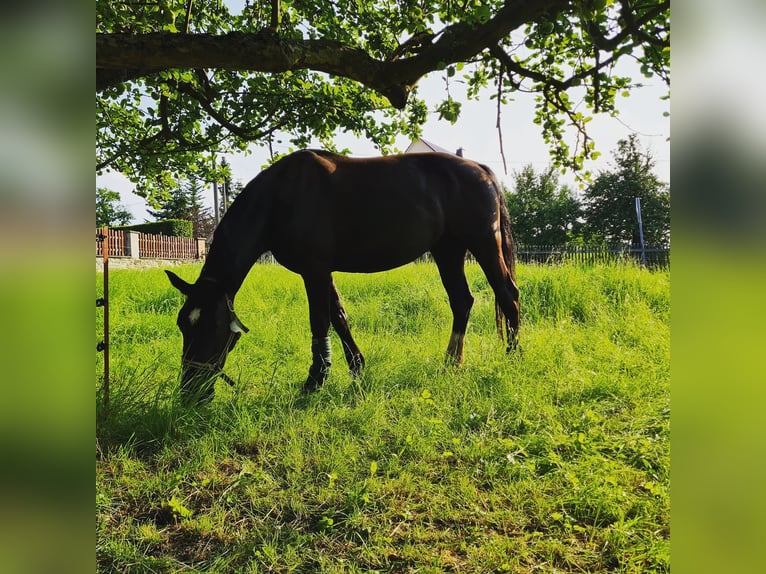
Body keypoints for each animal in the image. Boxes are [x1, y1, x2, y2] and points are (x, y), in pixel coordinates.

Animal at [168, 151, 520, 408]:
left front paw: (315, 380)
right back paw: (451, 363)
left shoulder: (314, 269)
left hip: (483, 244)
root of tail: (483, 171)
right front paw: (356, 368)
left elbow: (320, 321)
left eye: (212, 328)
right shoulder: (323, 271)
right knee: (462, 301)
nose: (190, 394)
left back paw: (512, 357)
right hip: (448, 250)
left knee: (507, 295)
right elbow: (339, 317)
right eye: (183, 325)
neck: (281, 196)